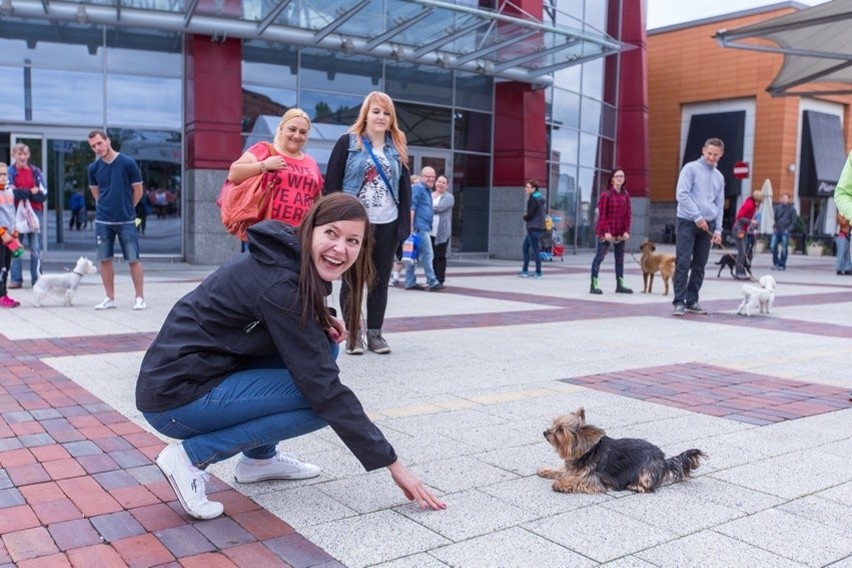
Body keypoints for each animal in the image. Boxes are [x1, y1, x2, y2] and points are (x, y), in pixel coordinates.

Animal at [540, 406, 704, 494]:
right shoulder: (573, 468)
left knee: (647, 484)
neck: (586, 452)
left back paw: (635, 486)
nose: (545, 432)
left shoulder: (594, 477)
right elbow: (562, 470)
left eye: (560, 430)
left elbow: (578, 480)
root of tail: (664, 461)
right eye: (554, 425)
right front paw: (545, 470)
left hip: (646, 470)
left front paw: (560, 483)